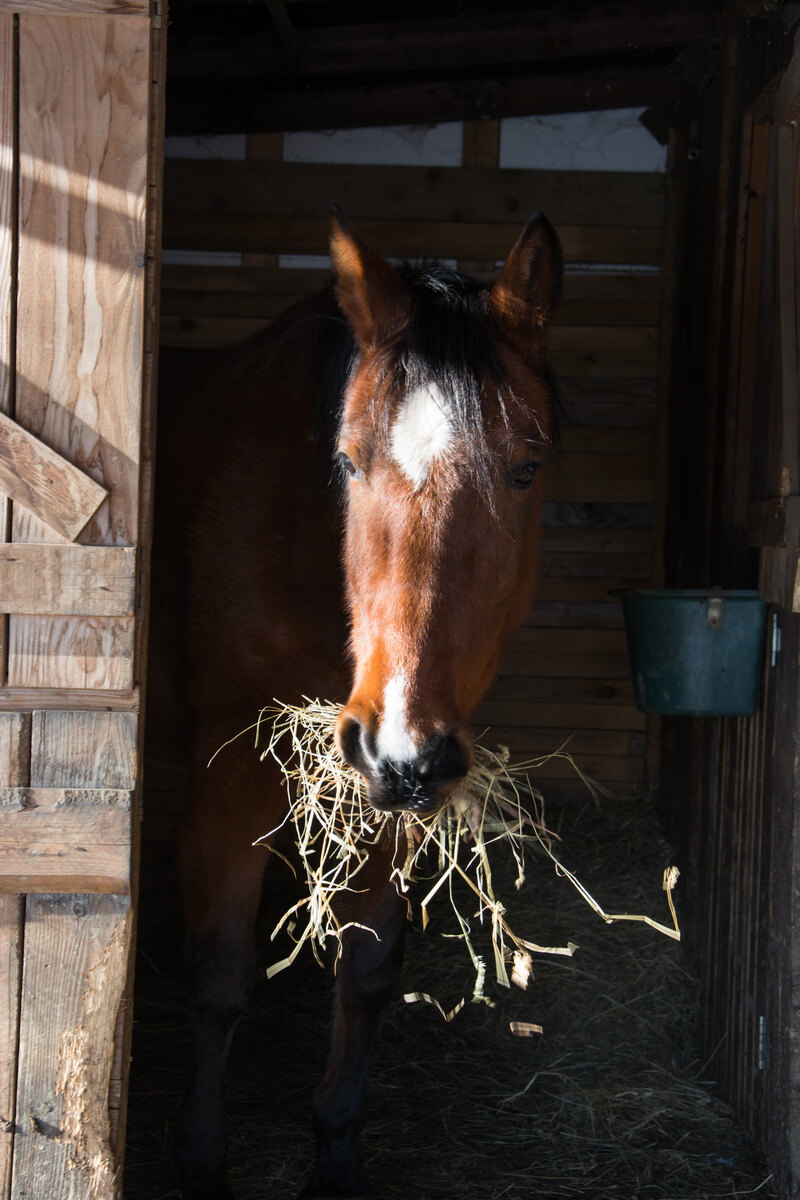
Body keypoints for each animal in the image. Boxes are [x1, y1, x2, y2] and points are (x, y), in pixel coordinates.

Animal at [148, 209, 562, 1200]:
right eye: (346, 460)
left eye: (526, 468)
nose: (399, 742)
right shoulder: (231, 772)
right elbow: (220, 974)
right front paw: (202, 1160)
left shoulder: (397, 789)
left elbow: (369, 971)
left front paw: (335, 1154)